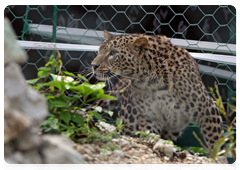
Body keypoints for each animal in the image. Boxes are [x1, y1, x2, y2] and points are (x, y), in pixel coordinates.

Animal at [90, 30, 223, 155]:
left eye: (113, 53)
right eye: (99, 50)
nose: (93, 65)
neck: (151, 80)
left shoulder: (207, 108)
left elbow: (215, 139)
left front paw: (219, 158)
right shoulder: (149, 116)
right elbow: (151, 135)